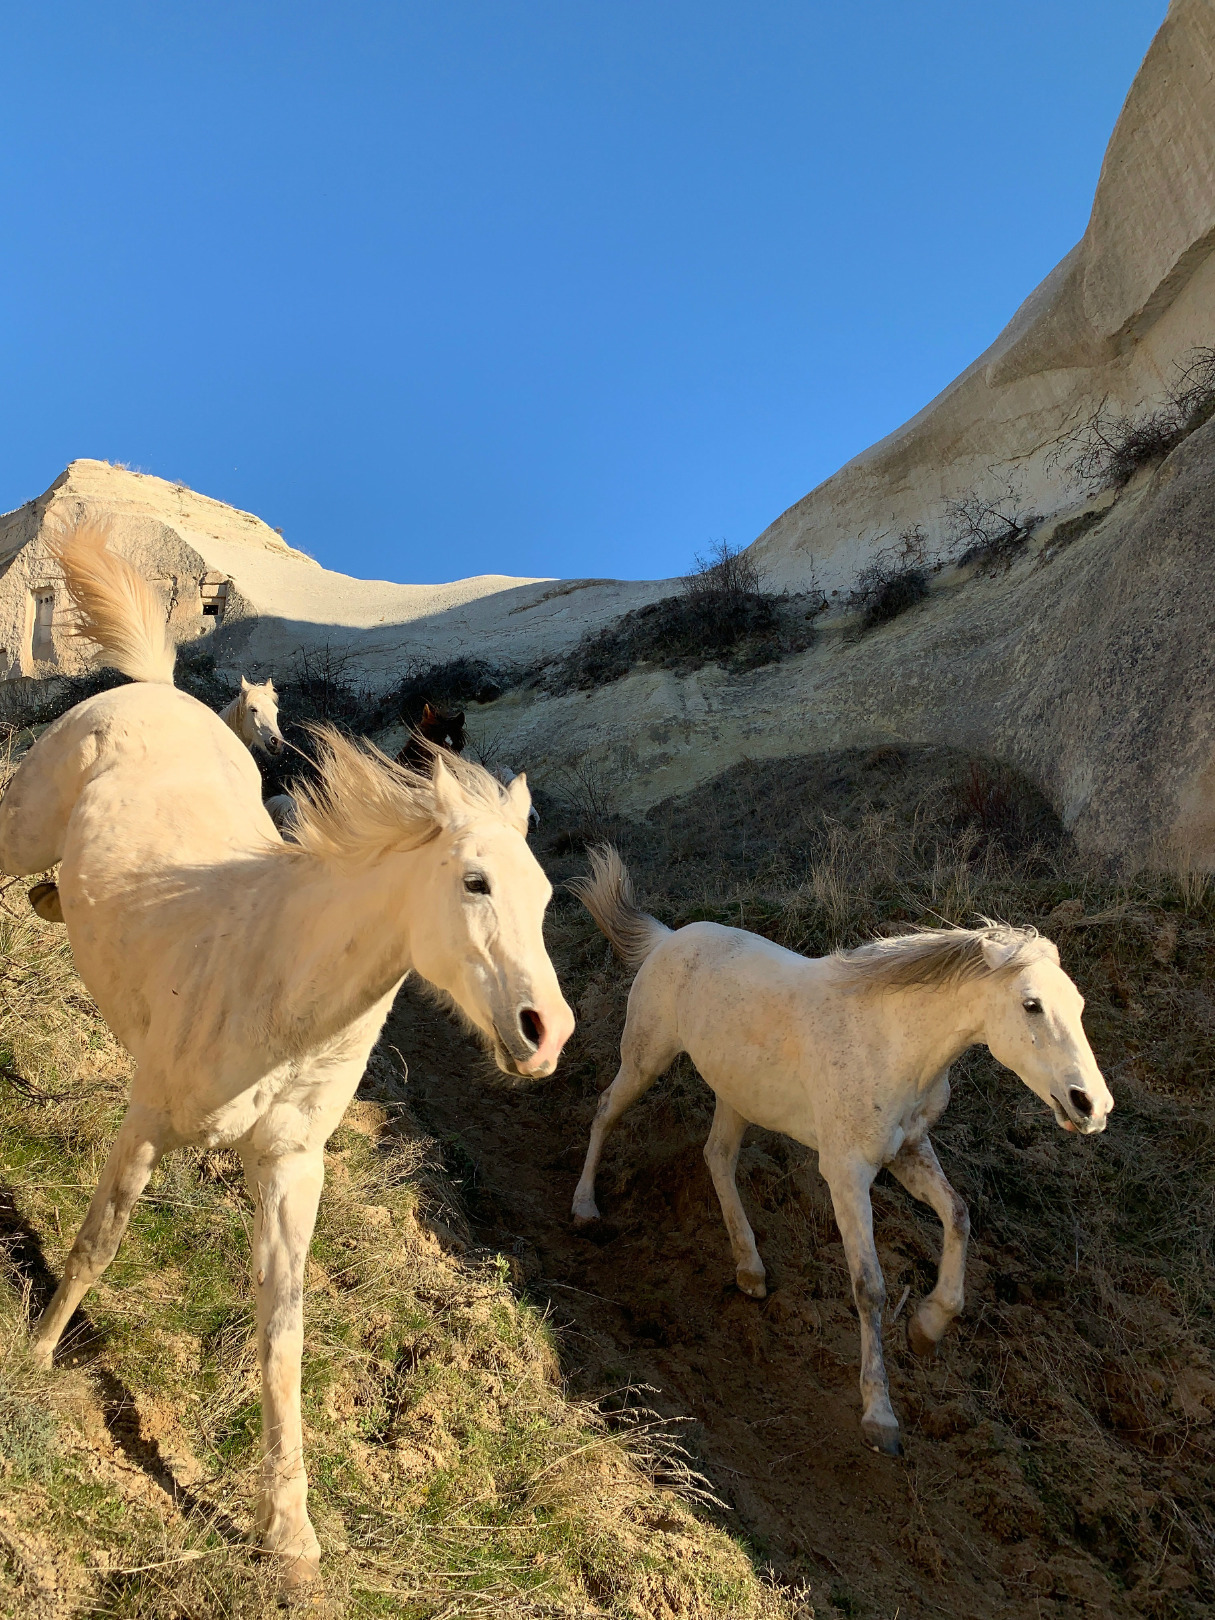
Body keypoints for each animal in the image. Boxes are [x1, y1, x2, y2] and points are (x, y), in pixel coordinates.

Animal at [570, 848, 1114, 1458]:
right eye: (1031, 1005)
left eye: (1079, 1005)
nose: (1092, 1105)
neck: (893, 1044)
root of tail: (667, 939)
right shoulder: (848, 1174)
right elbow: (869, 1287)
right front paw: (880, 1416)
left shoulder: (908, 1152)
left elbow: (958, 1215)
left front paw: (926, 1328)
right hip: (645, 1058)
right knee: (606, 1112)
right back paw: (585, 1210)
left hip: (737, 1093)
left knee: (718, 1156)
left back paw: (750, 1270)